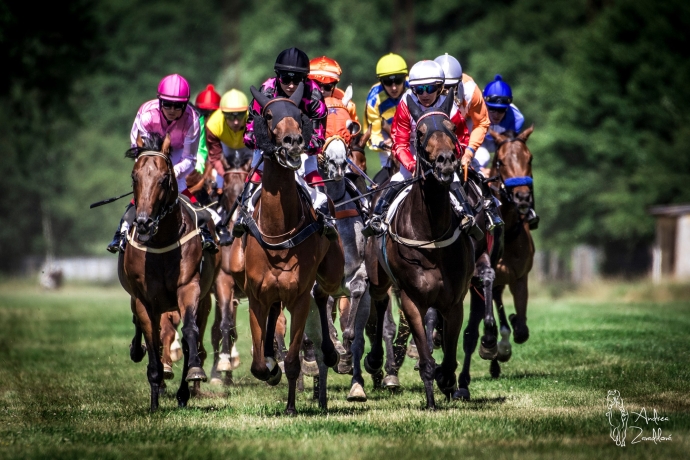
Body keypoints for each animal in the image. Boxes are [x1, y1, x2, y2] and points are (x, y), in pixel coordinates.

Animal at [118, 135, 219, 412]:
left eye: (164, 178)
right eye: (134, 177)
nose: (143, 223)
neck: (161, 239)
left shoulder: (189, 288)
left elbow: (189, 333)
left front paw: (193, 373)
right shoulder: (143, 299)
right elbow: (153, 340)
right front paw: (154, 401)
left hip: (202, 299)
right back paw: (137, 350)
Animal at [228, 83, 344, 414]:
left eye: (298, 114)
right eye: (268, 115)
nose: (293, 141)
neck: (278, 231)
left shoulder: (299, 297)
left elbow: (293, 359)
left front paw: (291, 405)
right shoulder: (256, 296)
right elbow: (258, 364)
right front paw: (270, 367)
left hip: (333, 271)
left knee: (323, 293)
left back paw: (330, 352)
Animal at [366, 91, 472, 408]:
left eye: (451, 129)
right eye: (420, 132)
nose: (446, 161)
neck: (431, 235)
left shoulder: (454, 301)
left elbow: (448, 355)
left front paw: (446, 382)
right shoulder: (412, 299)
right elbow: (425, 357)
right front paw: (431, 399)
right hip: (378, 277)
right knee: (378, 305)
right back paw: (375, 360)